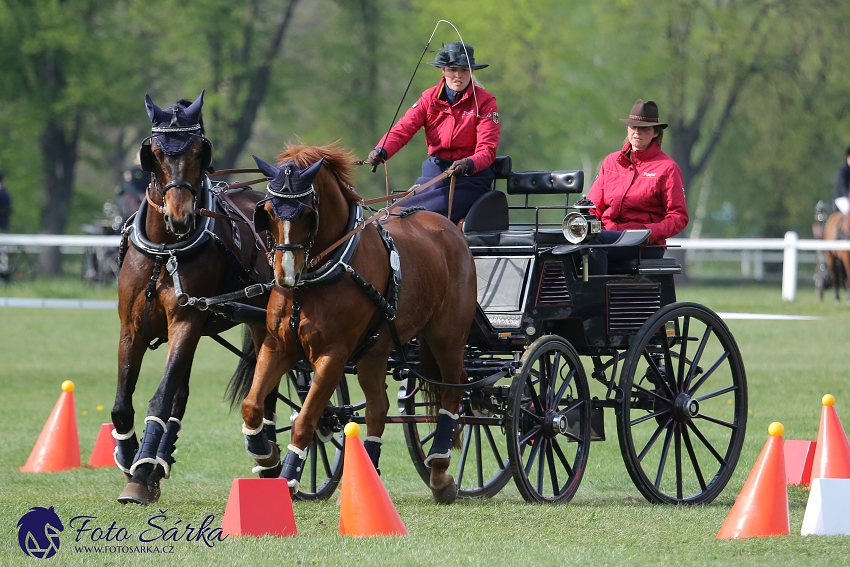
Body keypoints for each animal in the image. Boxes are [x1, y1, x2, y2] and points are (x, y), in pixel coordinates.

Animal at [112, 93, 272, 506]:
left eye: (200, 151)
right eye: (153, 152)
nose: (181, 216)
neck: (165, 251)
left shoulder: (185, 321)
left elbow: (160, 397)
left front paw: (140, 473)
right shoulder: (131, 327)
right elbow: (123, 404)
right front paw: (132, 460)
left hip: (263, 321)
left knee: (268, 386)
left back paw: (268, 456)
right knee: (181, 395)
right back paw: (159, 461)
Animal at [235, 144, 476, 504]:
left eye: (307, 213)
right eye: (268, 212)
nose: (285, 275)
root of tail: (449, 227)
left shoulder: (333, 356)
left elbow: (305, 419)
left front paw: (289, 476)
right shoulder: (278, 345)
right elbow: (252, 405)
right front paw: (265, 456)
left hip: (446, 338)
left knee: (452, 393)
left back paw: (440, 472)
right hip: (375, 351)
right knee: (379, 408)